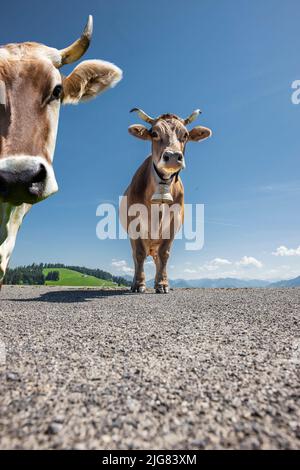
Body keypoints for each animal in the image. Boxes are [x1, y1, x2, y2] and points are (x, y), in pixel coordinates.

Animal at [120, 109, 212, 294]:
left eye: (185, 135)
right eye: (154, 133)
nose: (173, 156)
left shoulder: (173, 223)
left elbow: (164, 254)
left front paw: (162, 284)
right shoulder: (135, 222)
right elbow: (139, 254)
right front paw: (139, 284)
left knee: (157, 258)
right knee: (136, 257)